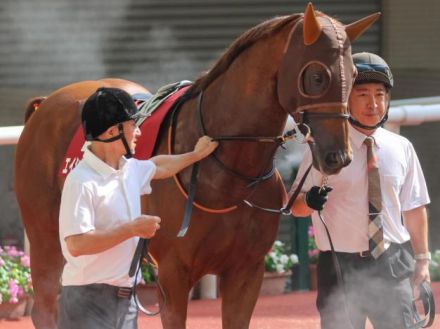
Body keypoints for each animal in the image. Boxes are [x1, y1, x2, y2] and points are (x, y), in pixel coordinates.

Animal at [14, 5, 378, 328]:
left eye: (354, 76)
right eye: (316, 75)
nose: (338, 156)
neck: (228, 171)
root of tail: (45, 105)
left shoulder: (247, 272)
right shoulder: (173, 276)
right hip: (48, 242)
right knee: (47, 308)